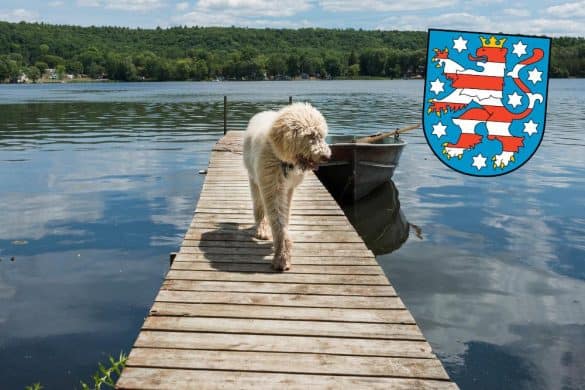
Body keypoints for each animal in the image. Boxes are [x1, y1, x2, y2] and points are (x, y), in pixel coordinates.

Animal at [243, 102, 330, 270]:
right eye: (310, 135)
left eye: (322, 135)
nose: (327, 157)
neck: (282, 159)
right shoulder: (272, 187)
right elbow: (278, 221)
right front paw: (282, 257)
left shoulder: (289, 188)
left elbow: (285, 214)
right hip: (253, 179)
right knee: (258, 206)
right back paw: (261, 229)